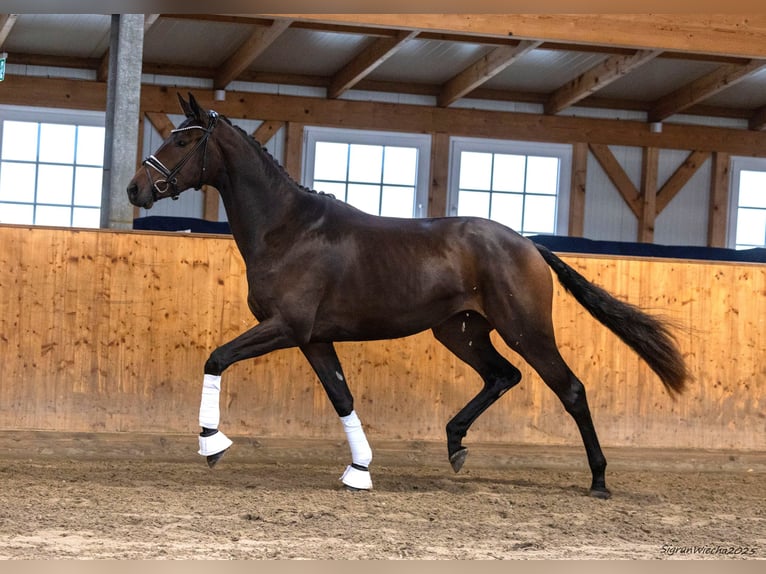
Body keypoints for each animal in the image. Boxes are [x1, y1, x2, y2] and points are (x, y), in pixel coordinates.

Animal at [127, 93, 689, 498]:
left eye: (183, 142)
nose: (136, 189)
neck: (289, 229)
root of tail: (527, 243)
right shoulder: (313, 338)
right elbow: (342, 397)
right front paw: (359, 470)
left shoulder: (285, 328)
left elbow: (216, 358)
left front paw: (212, 444)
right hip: (460, 331)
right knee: (502, 376)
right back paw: (456, 444)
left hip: (526, 330)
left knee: (570, 390)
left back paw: (598, 480)